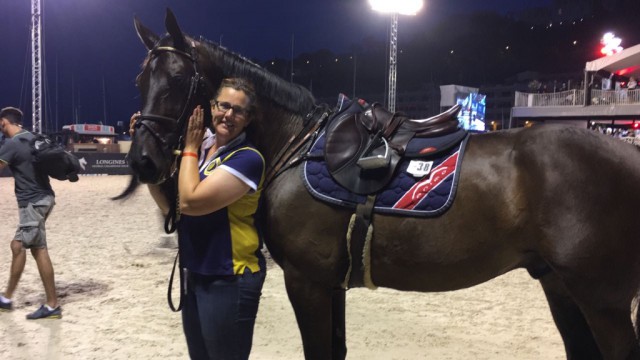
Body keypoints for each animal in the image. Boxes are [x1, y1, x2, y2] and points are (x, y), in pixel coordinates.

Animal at [125, 9, 640, 360]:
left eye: (179, 79)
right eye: (140, 78)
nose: (143, 161)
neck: (297, 143)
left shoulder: (306, 281)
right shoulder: (329, 284)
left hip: (602, 299)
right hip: (561, 286)